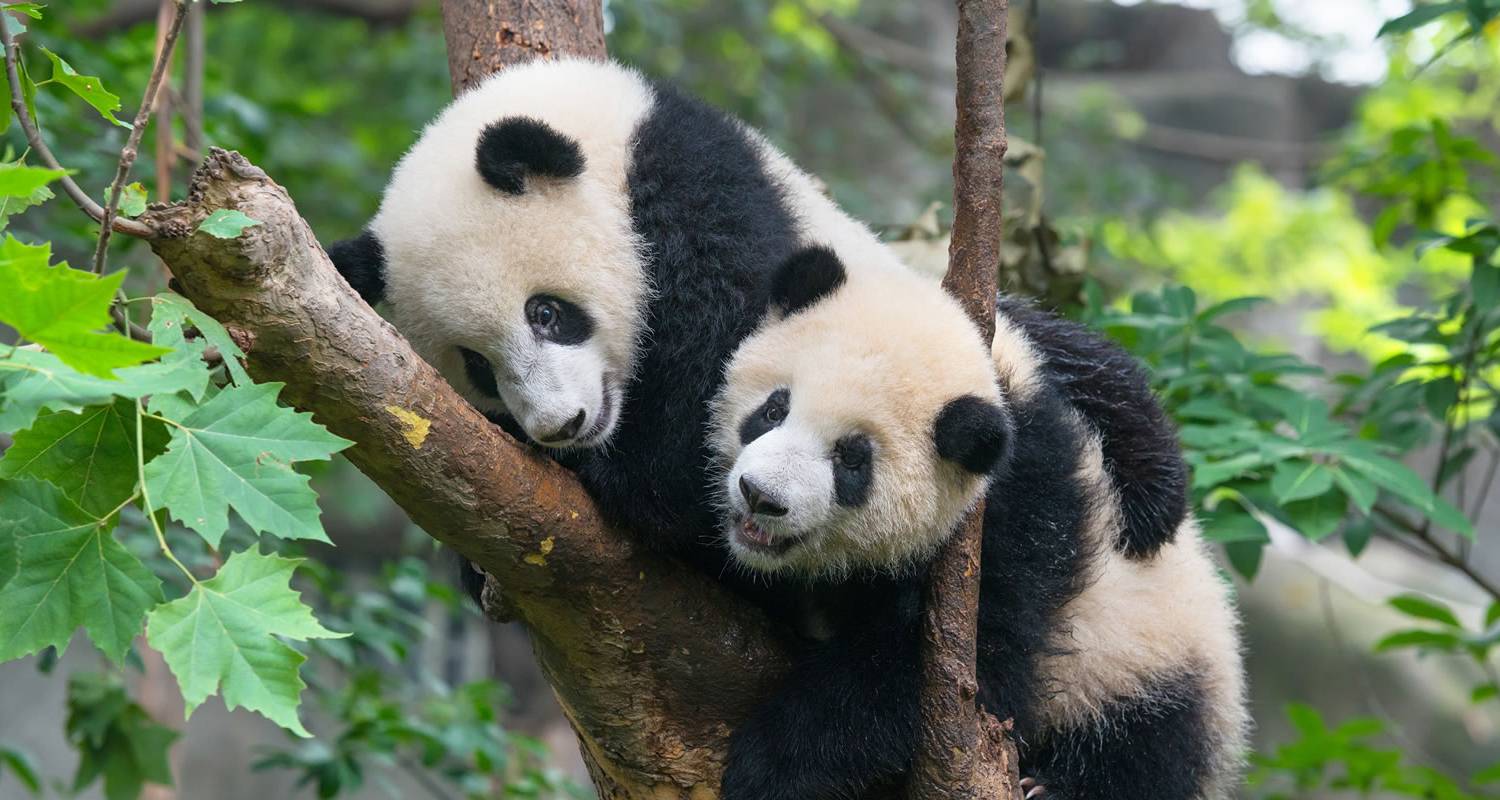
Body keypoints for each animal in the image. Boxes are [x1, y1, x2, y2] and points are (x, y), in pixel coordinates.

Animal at [710, 247, 1248, 800]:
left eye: (852, 461)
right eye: (774, 409)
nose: (761, 496)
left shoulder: (1014, 519)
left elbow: (966, 670)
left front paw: (768, 762)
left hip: (1146, 666)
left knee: (1145, 749)